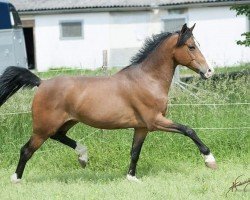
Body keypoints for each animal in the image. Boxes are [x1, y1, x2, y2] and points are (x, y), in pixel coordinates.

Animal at [0, 23, 217, 183]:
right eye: (191, 46)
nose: (208, 71)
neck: (147, 80)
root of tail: (41, 83)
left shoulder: (142, 127)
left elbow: (135, 152)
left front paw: (131, 178)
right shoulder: (155, 121)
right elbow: (188, 130)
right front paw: (210, 160)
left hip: (65, 122)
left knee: (58, 136)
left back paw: (83, 156)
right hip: (43, 127)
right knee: (26, 150)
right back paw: (16, 179)